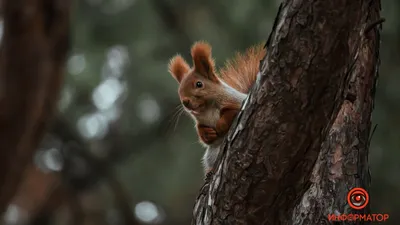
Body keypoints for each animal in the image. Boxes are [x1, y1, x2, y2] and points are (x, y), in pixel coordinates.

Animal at [166, 40, 264, 178]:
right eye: (179, 90)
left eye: (199, 84)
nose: (185, 102)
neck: (207, 108)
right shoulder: (201, 121)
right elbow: (202, 132)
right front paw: (207, 133)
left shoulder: (238, 102)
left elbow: (231, 112)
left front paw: (220, 125)